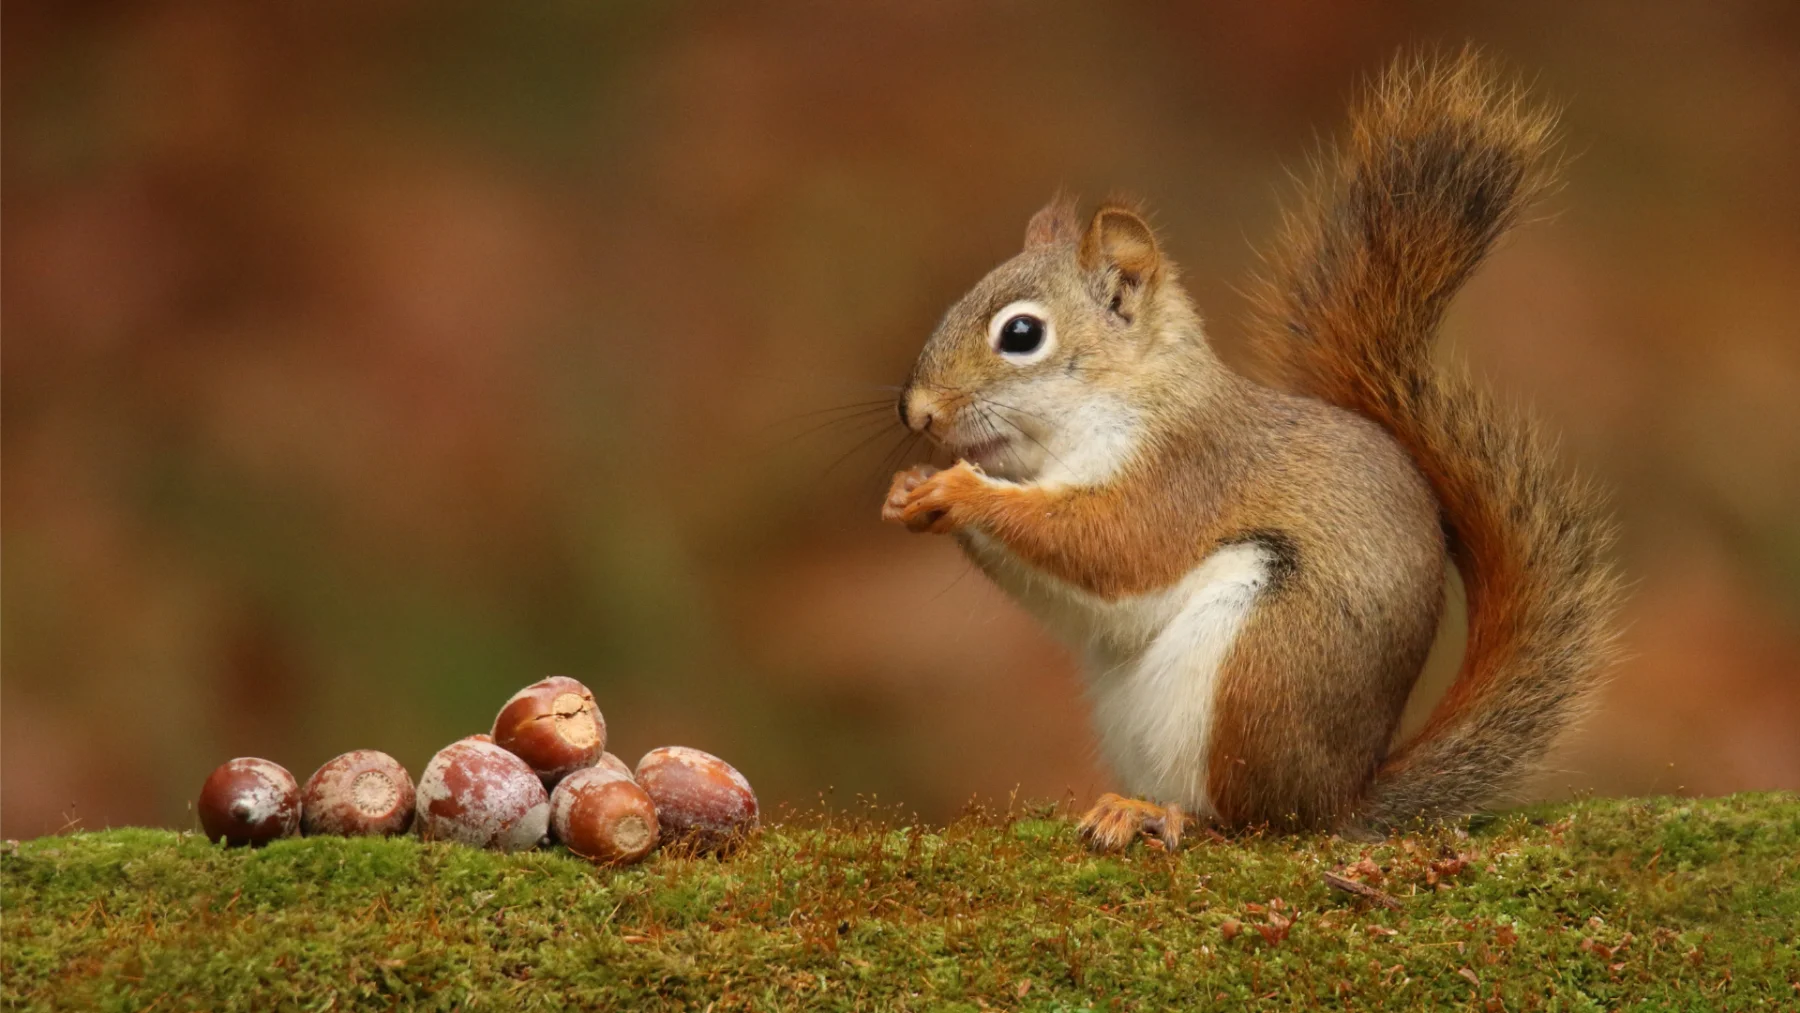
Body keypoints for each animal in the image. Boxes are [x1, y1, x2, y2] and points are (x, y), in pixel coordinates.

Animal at [880, 51, 1623, 849]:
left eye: (1021, 335)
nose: (916, 411)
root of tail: (1339, 801)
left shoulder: (1184, 474)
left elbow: (1109, 544)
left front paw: (959, 490)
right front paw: (908, 489)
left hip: (1258, 665)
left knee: (1250, 820)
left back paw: (1158, 814)